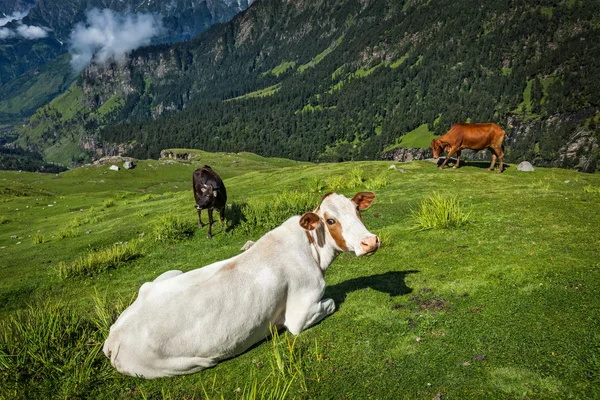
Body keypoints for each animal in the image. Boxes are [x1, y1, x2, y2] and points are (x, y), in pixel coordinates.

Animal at [101, 192, 378, 380]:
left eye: (357, 210)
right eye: (330, 220)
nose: (370, 242)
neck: (313, 250)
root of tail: (113, 336)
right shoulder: (300, 314)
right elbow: (332, 301)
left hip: (165, 276)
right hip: (187, 363)